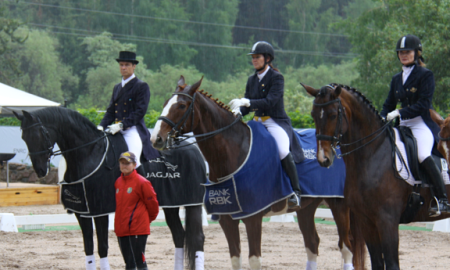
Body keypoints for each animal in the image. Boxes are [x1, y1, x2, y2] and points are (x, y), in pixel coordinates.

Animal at [12, 107, 206, 270]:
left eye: (40, 133)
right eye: (23, 137)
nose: (40, 170)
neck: (88, 153)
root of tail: (194, 149)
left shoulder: (100, 210)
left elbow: (102, 247)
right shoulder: (82, 212)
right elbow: (88, 247)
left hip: (193, 204)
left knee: (197, 239)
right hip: (170, 206)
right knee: (179, 236)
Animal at [150, 75, 358, 270]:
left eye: (181, 105)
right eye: (164, 103)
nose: (156, 139)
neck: (232, 153)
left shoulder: (253, 217)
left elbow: (254, 260)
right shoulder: (226, 218)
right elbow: (235, 259)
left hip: (339, 205)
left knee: (347, 247)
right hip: (307, 207)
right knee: (312, 243)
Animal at [302, 83, 450, 270]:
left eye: (333, 115)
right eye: (313, 114)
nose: (323, 158)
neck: (373, 154)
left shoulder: (387, 221)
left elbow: (392, 263)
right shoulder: (367, 221)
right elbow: (377, 263)